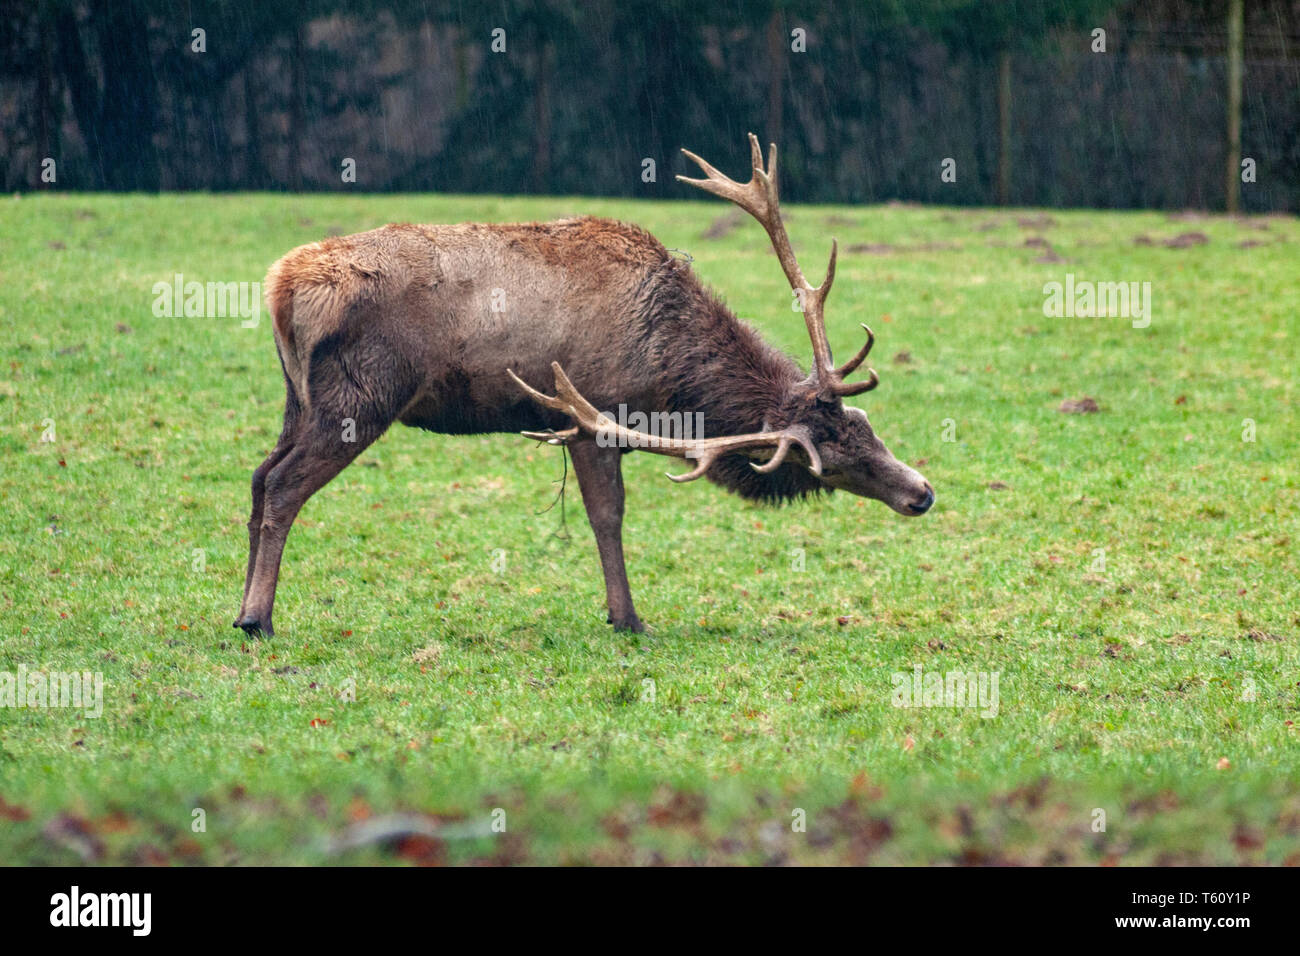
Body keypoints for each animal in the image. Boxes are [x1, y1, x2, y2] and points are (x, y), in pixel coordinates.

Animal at [235, 134, 934, 637]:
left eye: (862, 423)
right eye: (824, 459)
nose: (922, 493)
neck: (665, 365)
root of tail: (279, 285)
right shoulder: (590, 414)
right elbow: (608, 516)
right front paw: (628, 619)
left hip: (297, 398)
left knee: (260, 476)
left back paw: (238, 607)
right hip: (359, 397)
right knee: (287, 484)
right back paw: (258, 619)